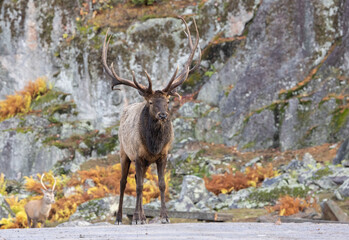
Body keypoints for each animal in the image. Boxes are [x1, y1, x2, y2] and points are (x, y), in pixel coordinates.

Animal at [102, 16, 200, 223]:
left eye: (168, 100)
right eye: (150, 102)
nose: (163, 115)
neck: (153, 144)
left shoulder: (163, 155)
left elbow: (161, 184)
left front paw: (164, 216)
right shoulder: (138, 155)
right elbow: (138, 187)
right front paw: (138, 217)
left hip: (145, 161)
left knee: (138, 179)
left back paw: (141, 215)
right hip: (123, 151)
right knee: (124, 182)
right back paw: (122, 217)